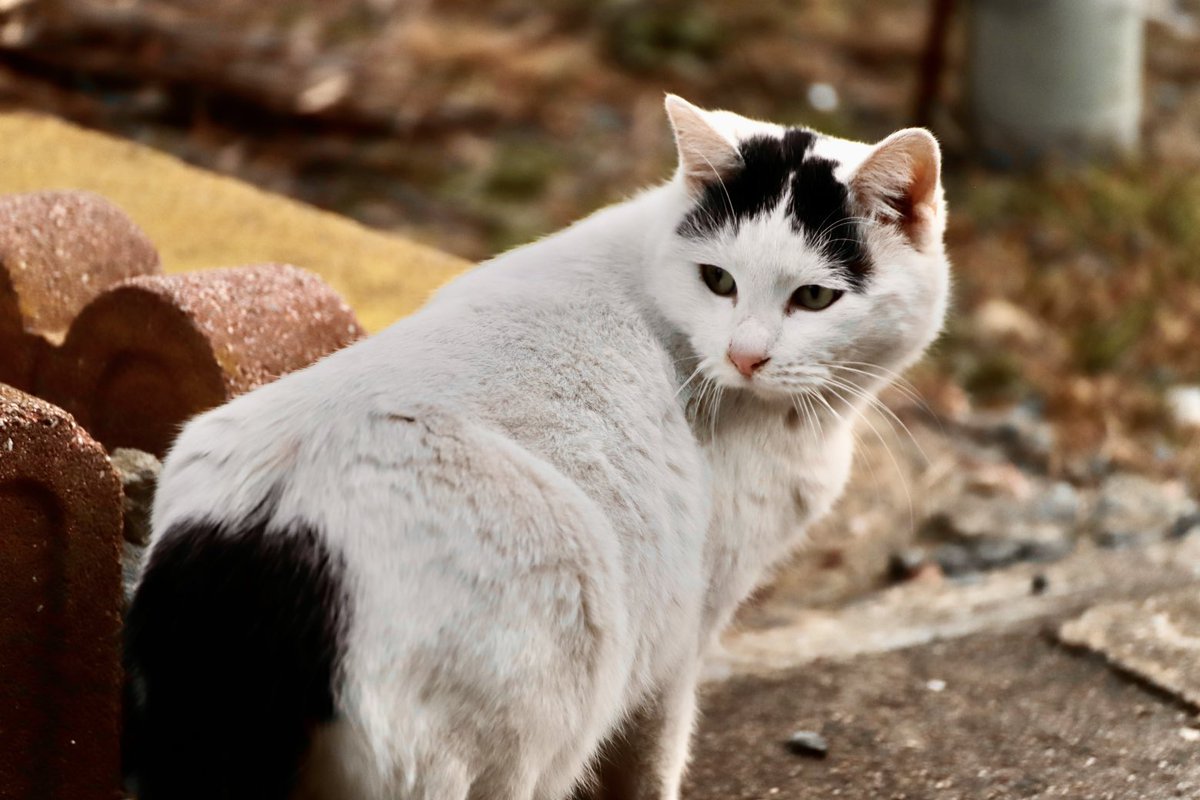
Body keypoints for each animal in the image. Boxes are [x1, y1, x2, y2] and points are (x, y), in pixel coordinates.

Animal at [121, 95, 945, 800]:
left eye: (814, 298)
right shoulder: (685, 631)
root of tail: (269, 537)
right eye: (718, 281)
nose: (745, 356)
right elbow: (654, 760)